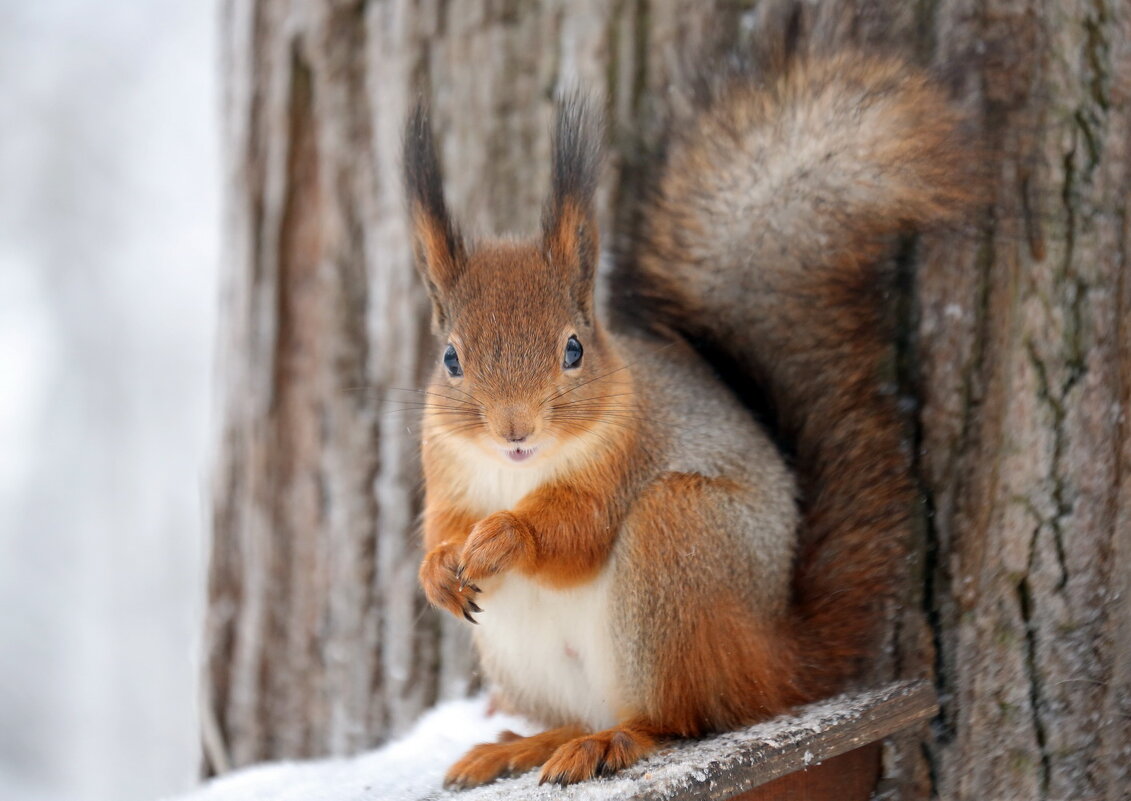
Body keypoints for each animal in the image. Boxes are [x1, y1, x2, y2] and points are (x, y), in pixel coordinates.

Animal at [402, 40, 977, 787]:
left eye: (573, 348)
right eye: (450, 358)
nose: (515, 429)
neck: (517, 473)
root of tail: (774, 659)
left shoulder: (630, 449)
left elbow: (578, 530)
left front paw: (506, 536)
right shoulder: (445, 467)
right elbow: (442, 523)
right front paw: (439, 568)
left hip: (677, 536)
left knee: (683, 716)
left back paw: (614, 740)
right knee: (591, 714)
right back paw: (523, 744)